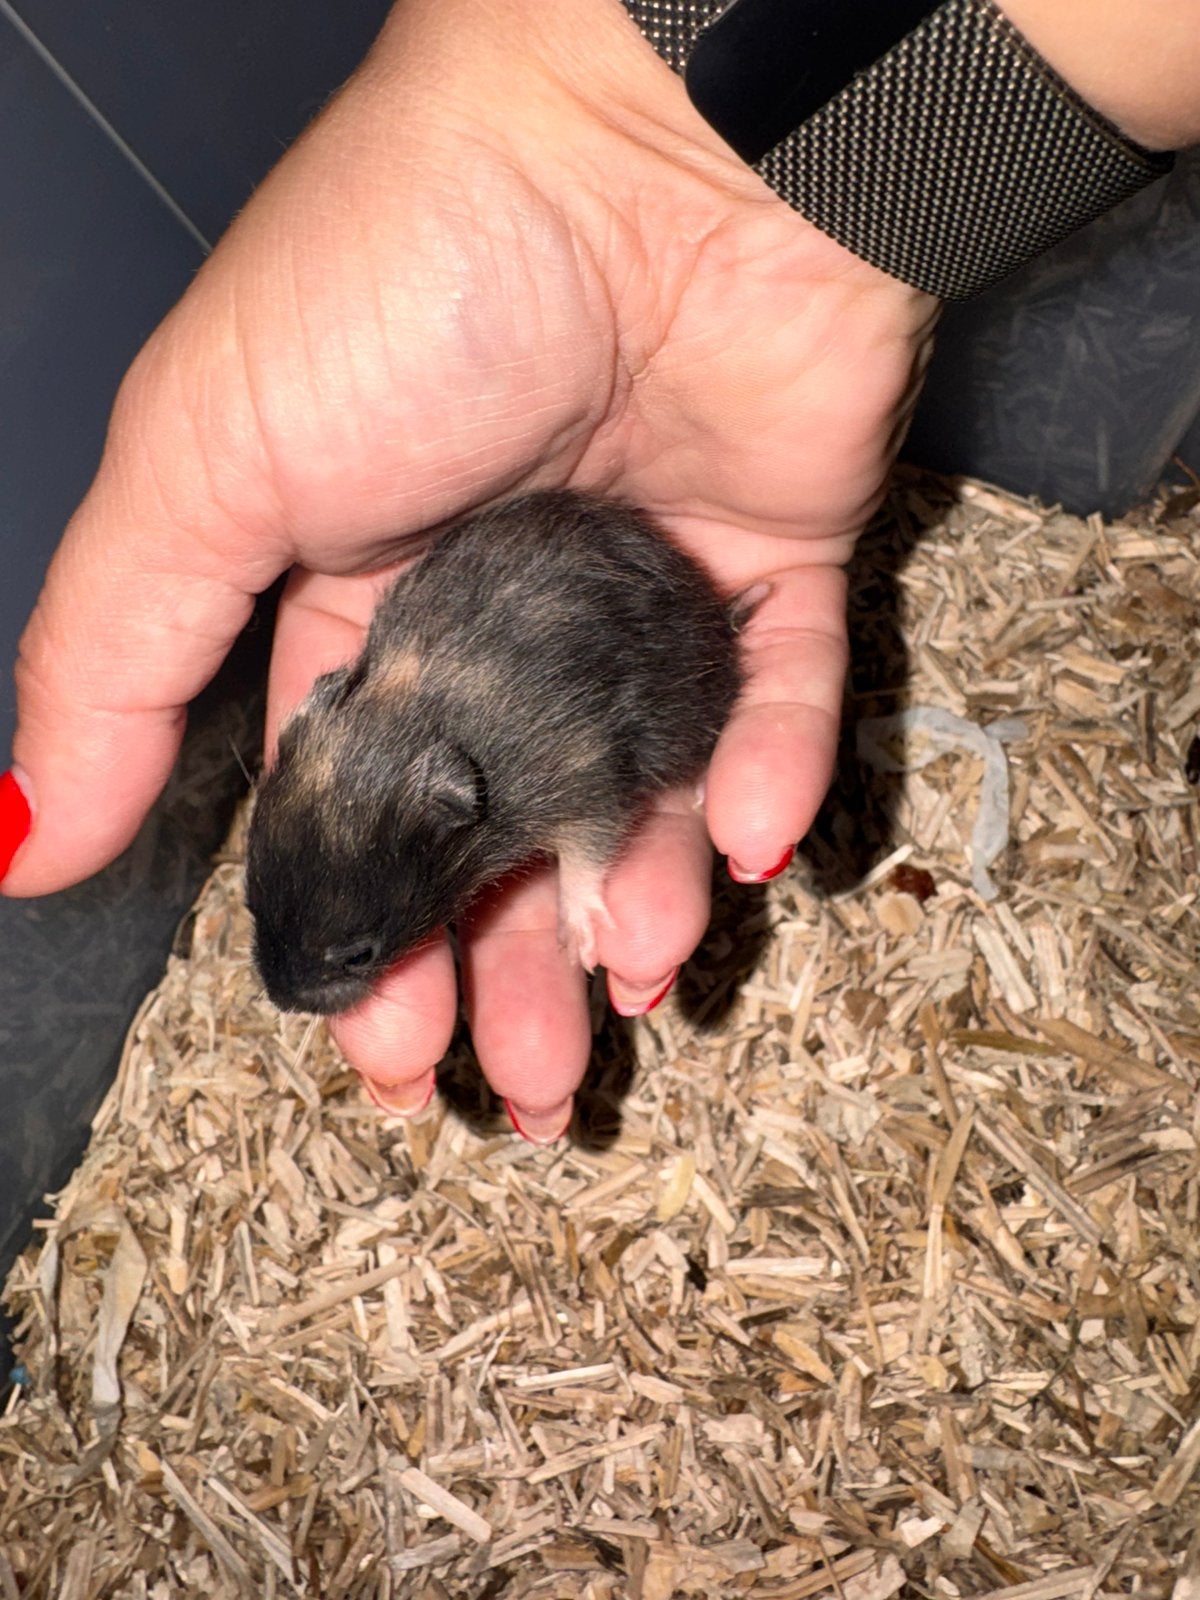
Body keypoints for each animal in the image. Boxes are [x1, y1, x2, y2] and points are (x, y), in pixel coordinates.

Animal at [245, 489, 743, 1014]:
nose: (283, 1000)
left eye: (360, 955)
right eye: (250, 904)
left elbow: (586, 860)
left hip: (689, 708)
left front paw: (578, 945)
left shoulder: (585, 781)